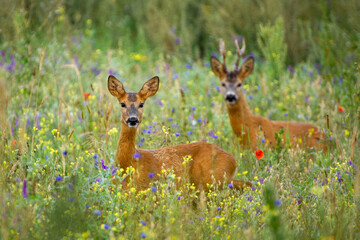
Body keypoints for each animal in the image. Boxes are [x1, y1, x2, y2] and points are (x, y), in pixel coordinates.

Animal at [107, 75, 250, 191]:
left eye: (141, 104)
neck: (129, 163)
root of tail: (233, 161)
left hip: (213, 179)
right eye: (122, 104)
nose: (132, 119)